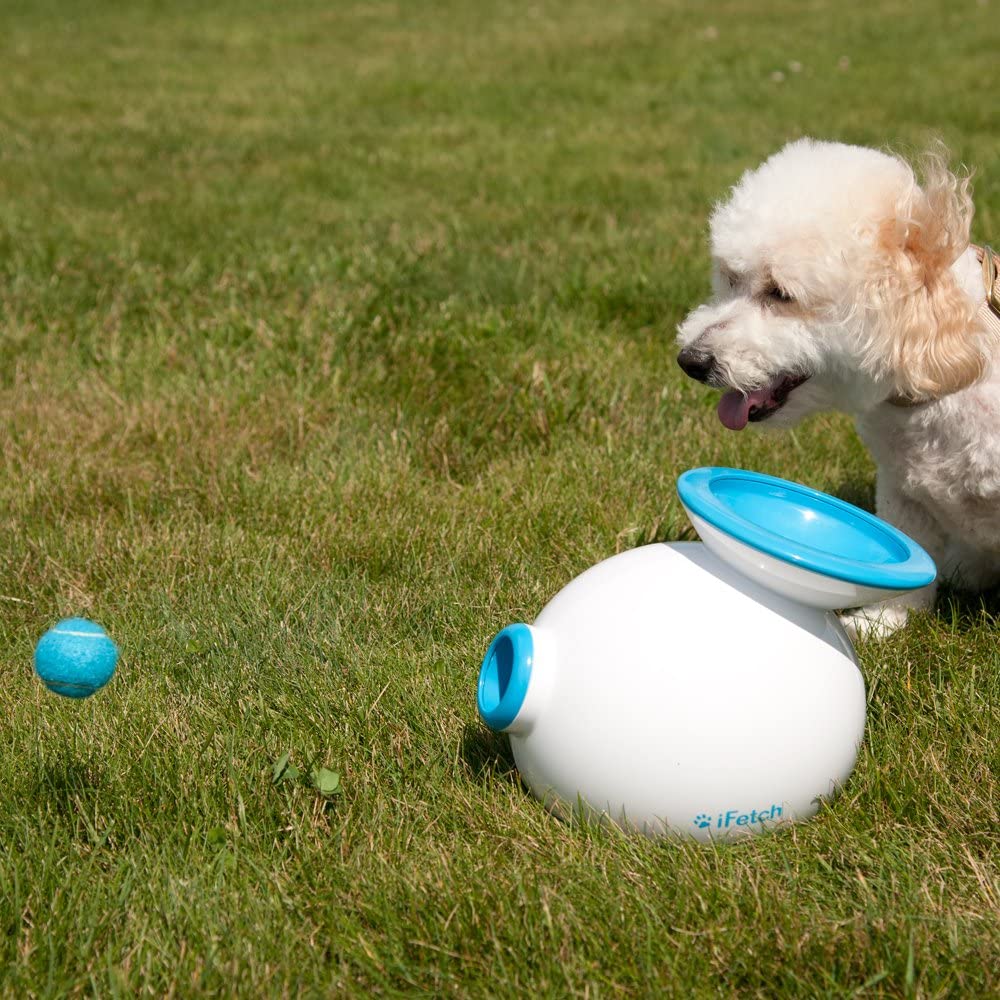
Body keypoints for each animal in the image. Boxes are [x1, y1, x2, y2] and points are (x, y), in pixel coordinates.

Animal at [676, 137, 996, 636]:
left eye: (780, 294)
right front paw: (884, 622)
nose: (691, 361)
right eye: (731, 278)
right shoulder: (901, 489)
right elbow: (911, 557)